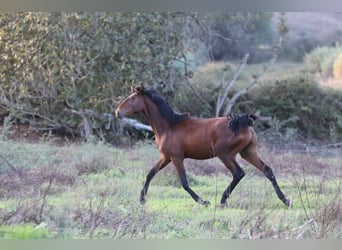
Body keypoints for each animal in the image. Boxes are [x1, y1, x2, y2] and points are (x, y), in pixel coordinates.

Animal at [115, 84, 292, 207]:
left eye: (132, 98)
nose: (117, 112)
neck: (169, 126)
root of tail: (244, 123)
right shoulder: (166, 157)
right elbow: (150, 174)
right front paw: (142, 200)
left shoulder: (177, 158)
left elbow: (184, 183)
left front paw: (203, 201)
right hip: (248, 153)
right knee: (267, 170)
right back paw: (285, 200)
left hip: (225, 154)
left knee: (238, 173)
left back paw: (222, 200)